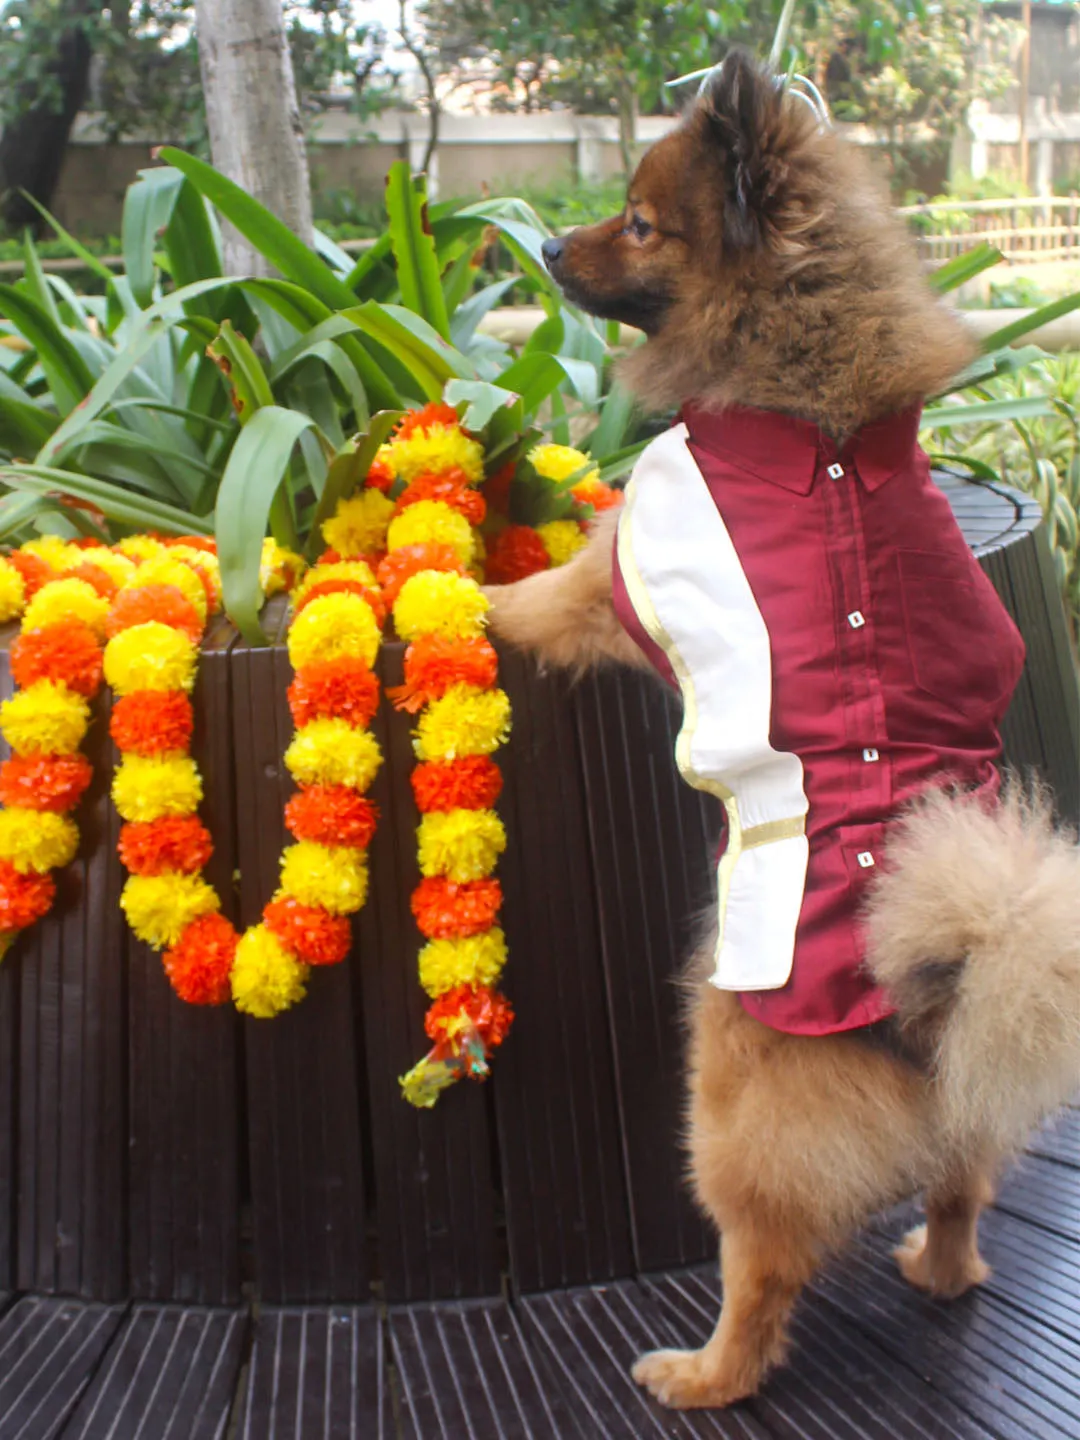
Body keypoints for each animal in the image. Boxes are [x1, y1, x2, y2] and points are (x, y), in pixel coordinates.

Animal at [489, 50, 1080, 1411]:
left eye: (639, 224)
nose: (541, 240)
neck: (810, 397)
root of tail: (945, 972)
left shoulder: (610, 578)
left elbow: (536, 594)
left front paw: (441, 590)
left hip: (729, 1095)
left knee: (762, 1269)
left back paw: (704, 1372)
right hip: (952, 1116)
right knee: (960, 1185)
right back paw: (938, 1268)